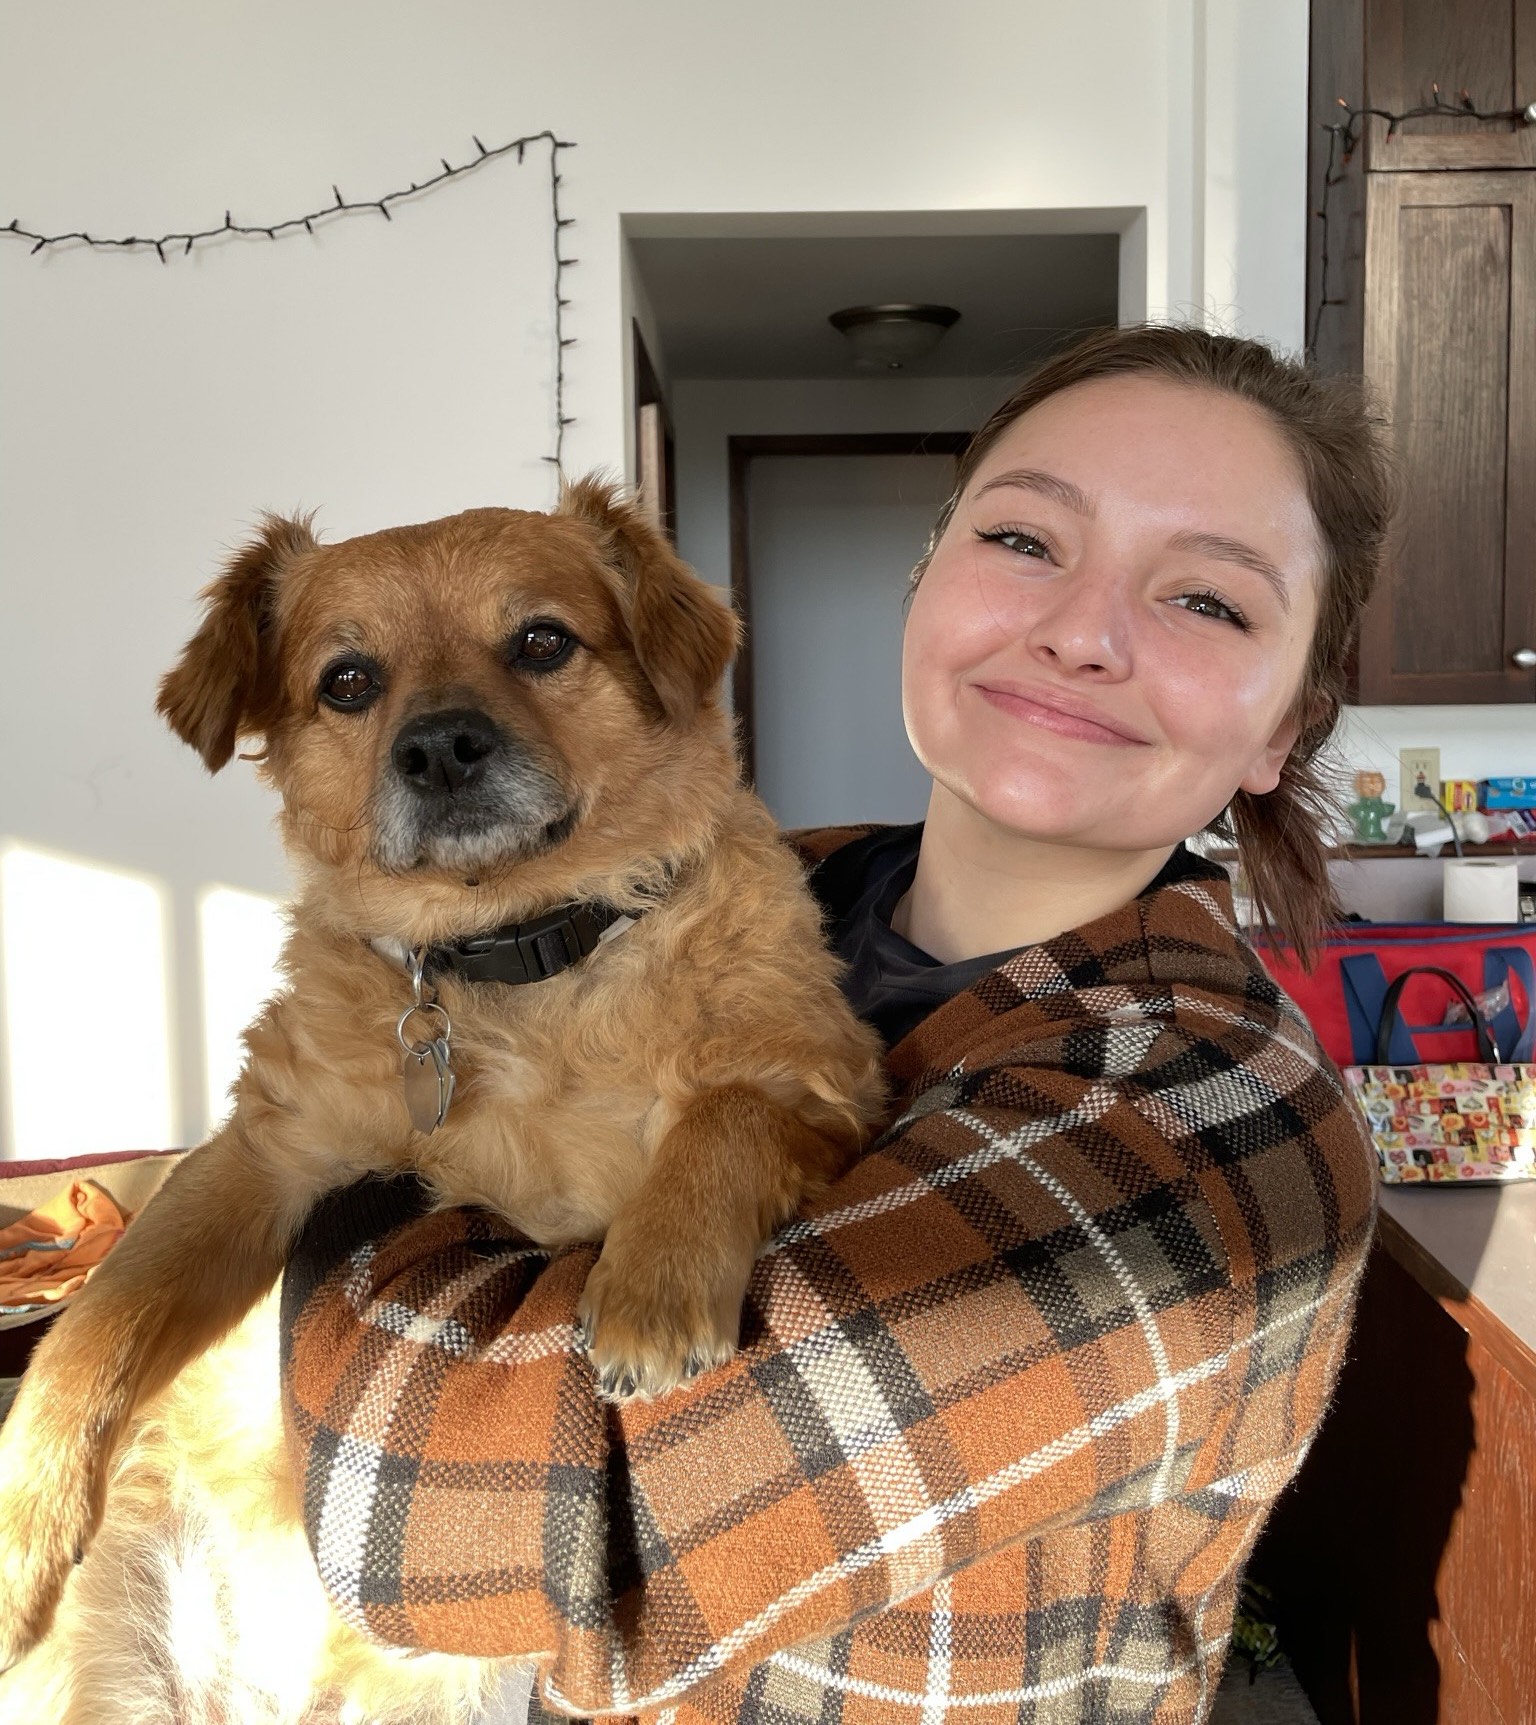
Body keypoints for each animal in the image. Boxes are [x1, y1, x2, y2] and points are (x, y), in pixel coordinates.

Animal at [0, 479, 883, 1718]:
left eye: (543, 642)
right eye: (348, 680)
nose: (440, 749)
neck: (508, 959)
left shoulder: (827, 1081)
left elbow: (723, 1114)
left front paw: (655, 1287)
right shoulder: (266, 1155)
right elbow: (103, 1320)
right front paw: (18, 1534)